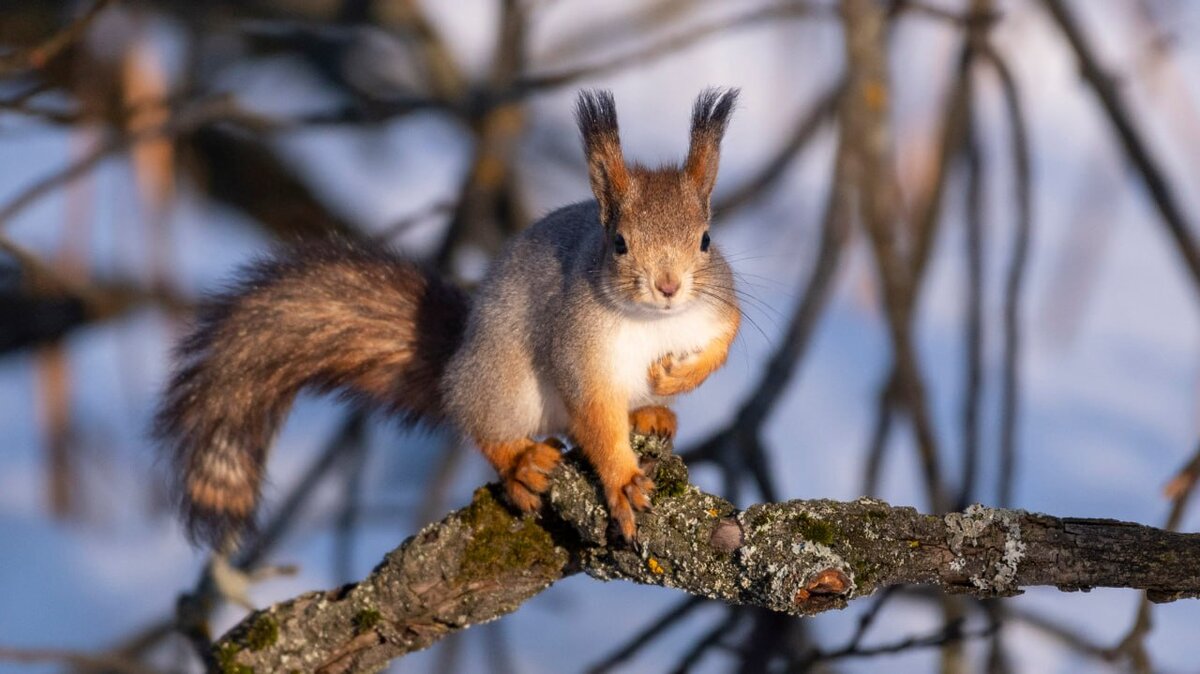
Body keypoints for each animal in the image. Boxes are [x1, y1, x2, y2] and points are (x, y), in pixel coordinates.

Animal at [159, 85, 739, 546]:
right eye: (619, 244)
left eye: (706, 240)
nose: (668, 286)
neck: (653, 321)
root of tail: (456, 361)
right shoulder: (580, 348)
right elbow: (595, 417)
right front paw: (621, 481)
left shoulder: (717, 306)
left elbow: (725, 340)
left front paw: (678, 375)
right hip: (504, 382)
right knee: (487, 423)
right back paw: (520, 463)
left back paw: (652, 412)